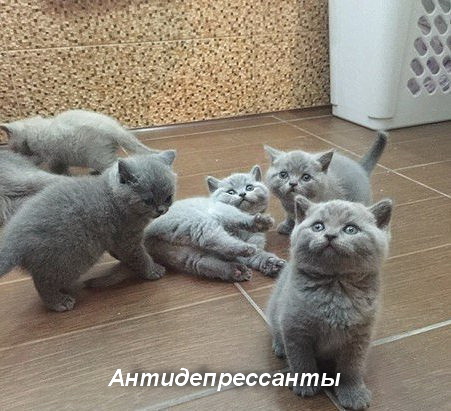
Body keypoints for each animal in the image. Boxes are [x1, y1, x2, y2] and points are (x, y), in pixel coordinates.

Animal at [0, 151, 176, 311]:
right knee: (43, 283)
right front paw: (153, 270)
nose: (161, 210)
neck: (113, 197)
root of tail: (13, 240)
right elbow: (140, 256)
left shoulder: (117, 240)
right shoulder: (127, 239)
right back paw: (59, 302)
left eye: (168, 197)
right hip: (74, 257)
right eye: (148, 201)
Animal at [1, 109, 160, 174]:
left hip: (98, 157)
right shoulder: (56, 158)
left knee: (114, 165)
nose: (14, 153)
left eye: (13, 147)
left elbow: (54, 168)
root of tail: (114, 128)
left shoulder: (51, 157)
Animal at [88, 166, 285, 287]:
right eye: (230, 192)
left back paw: (235, 270)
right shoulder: (221, 211)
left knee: (203, 262)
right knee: (214, 239)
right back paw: (244, 248)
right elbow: (238, 219)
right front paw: (256, 222)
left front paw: (273, 264)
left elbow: (259, 255)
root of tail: (145, 236)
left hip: (181, 254)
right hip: (196, 222)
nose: (242, 194)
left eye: (250, 187)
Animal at [267, 195, 392, 410]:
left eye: (350, 229)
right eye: (318, 226)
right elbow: (301, 359)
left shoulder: (359, 337)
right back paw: (279, 347)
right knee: (276, 331)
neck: (335, 286)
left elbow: (351, 368)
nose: (330, 236)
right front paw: (305, 385)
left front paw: (353, 394)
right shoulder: (295, 329)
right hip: (275, 307)